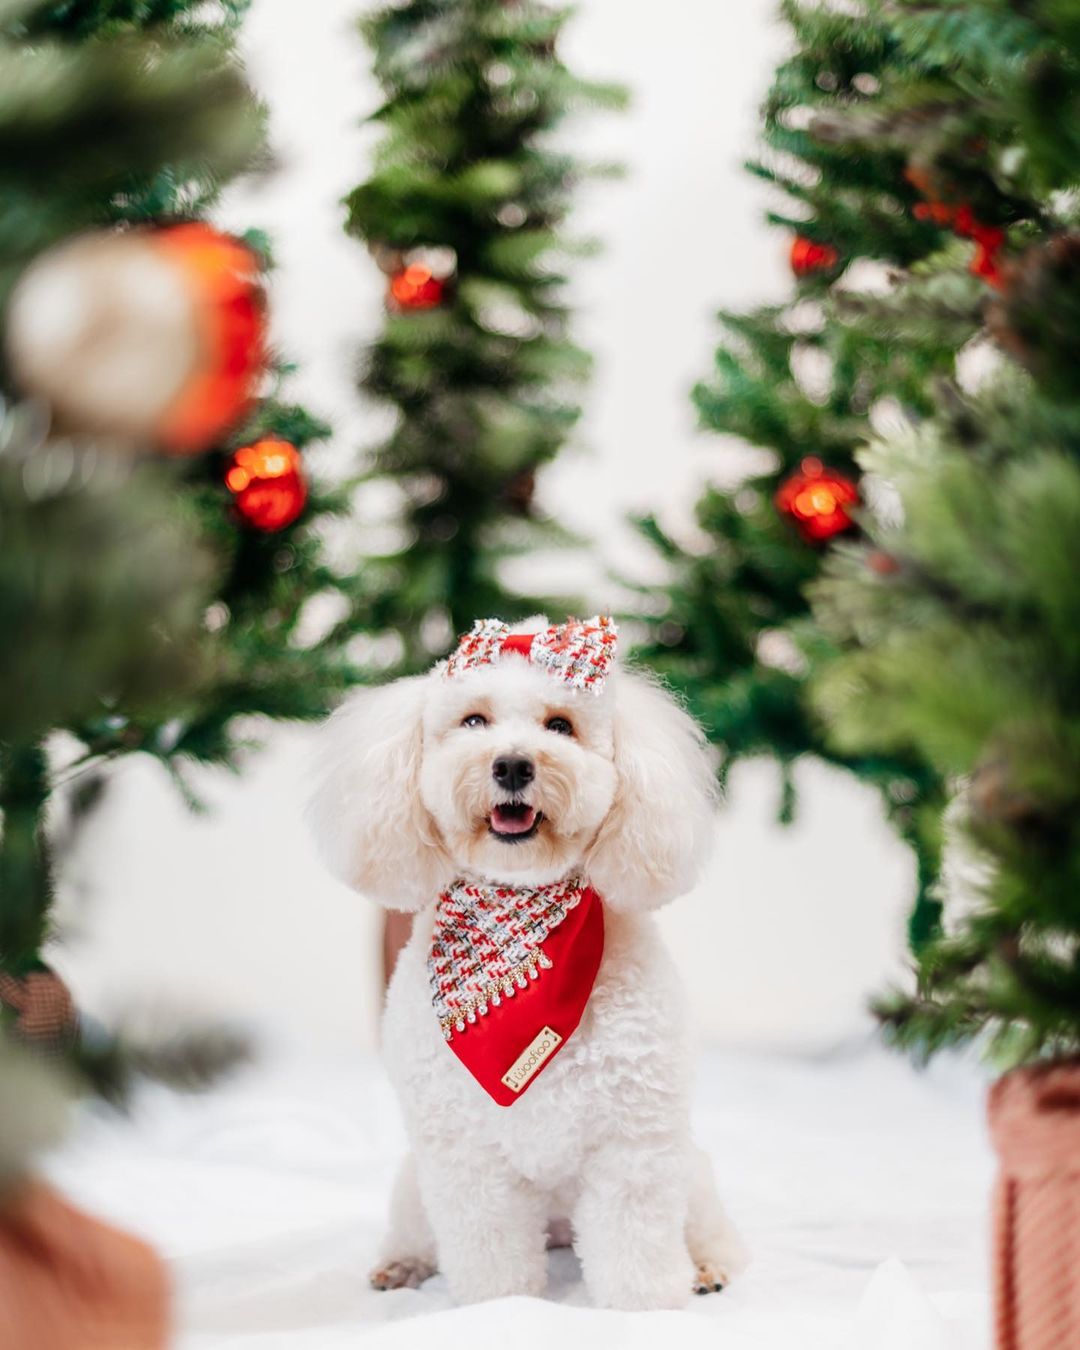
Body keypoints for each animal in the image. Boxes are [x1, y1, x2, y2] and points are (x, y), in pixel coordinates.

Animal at [307, 615, 745, 1306]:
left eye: (560, 725)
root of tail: (562, 1232)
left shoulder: (632, 1142)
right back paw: (401, 1266)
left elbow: (636, 1243)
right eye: (473, 721)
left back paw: (707, 1269)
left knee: (712, 1232)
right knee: (414, 1229)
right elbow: (491, 1251)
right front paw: (502, 1308)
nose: (512, 764)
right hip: (413, 1181)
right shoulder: (465, 1154)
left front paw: (646, 1306)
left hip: (691, 1171)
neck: (523, 907)